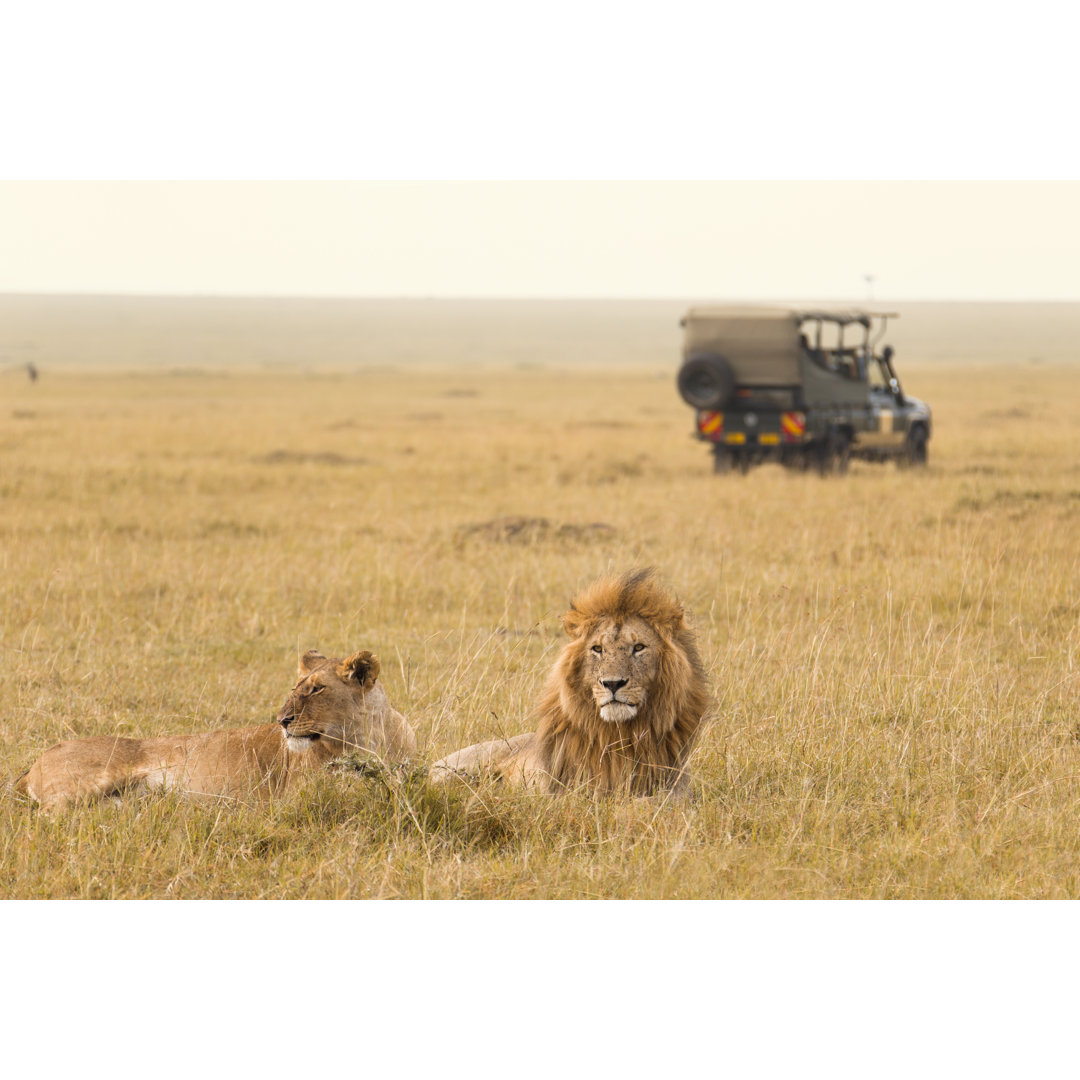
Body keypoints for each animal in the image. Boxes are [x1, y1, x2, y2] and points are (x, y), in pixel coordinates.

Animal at [15, 648, 416, 812]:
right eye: (296, 687)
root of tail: (33, 764)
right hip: (85, 783)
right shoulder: (298, 796)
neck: (369, 738)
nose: (282, 720)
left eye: (317, 689)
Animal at [425, 570, 712, 799]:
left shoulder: (675, 790)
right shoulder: (560, 792)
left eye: (639, 647)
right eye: (597, 649)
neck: (618, 735)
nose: (612, 683)